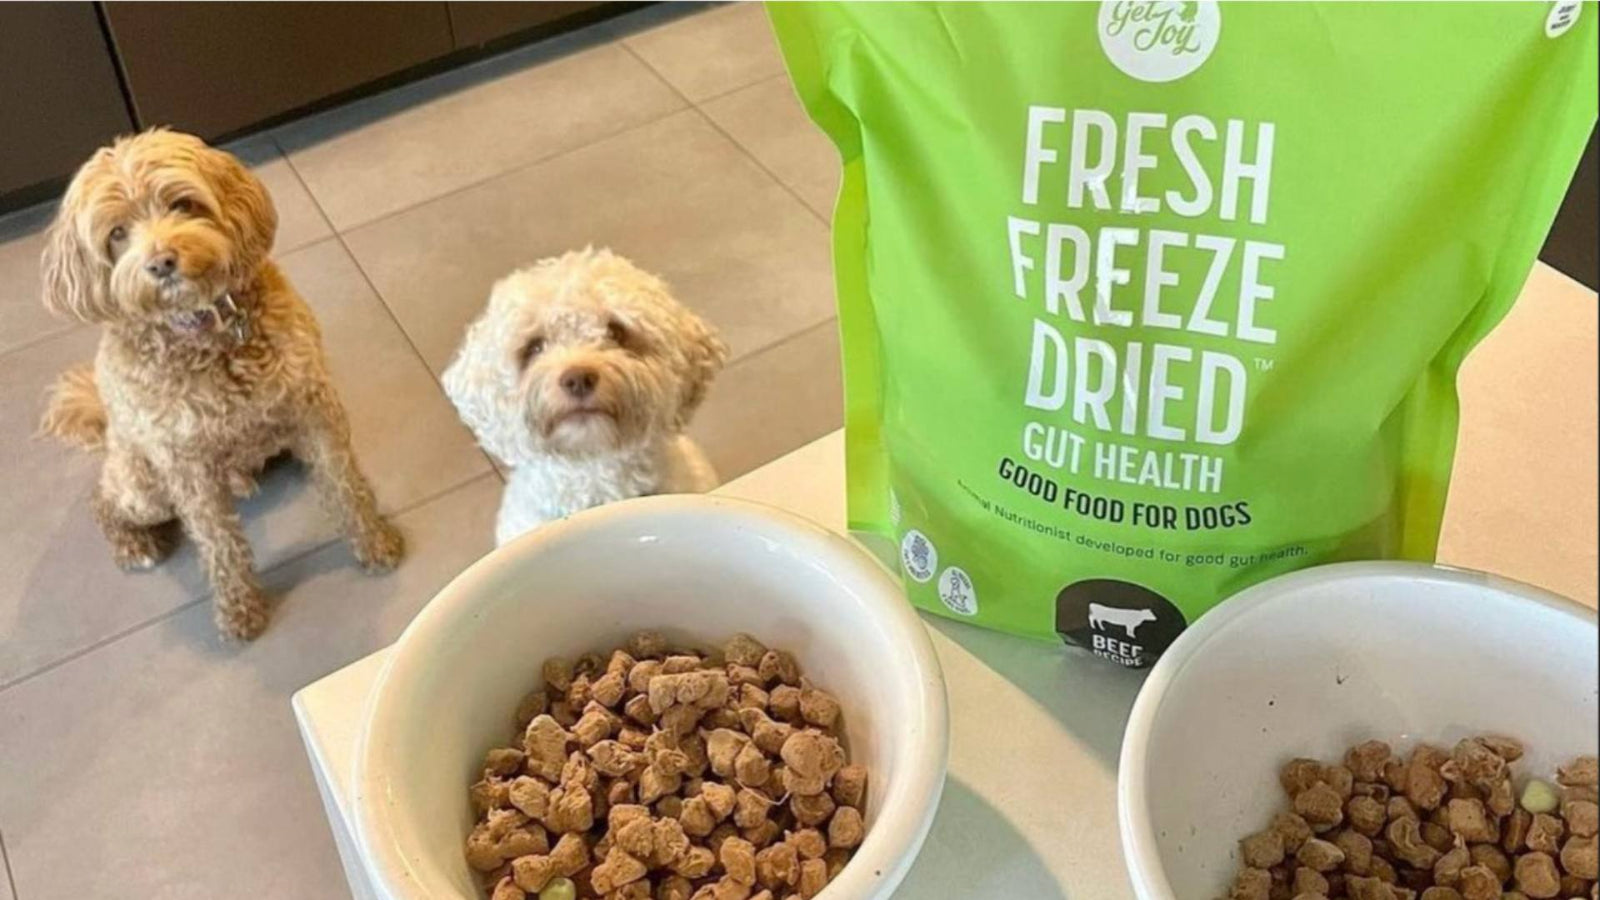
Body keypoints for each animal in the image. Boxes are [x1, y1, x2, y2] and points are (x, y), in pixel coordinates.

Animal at [36, 129, 403, 640]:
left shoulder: (313, 408)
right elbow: (218, 541)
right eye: (117, 234)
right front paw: (239, 609)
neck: (211, 332)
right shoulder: (186, 465)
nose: (162, 262)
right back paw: (133, 544)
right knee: (103, 501)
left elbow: (344, 483)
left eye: (182, 203)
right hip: (144, 487)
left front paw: (374, 540)